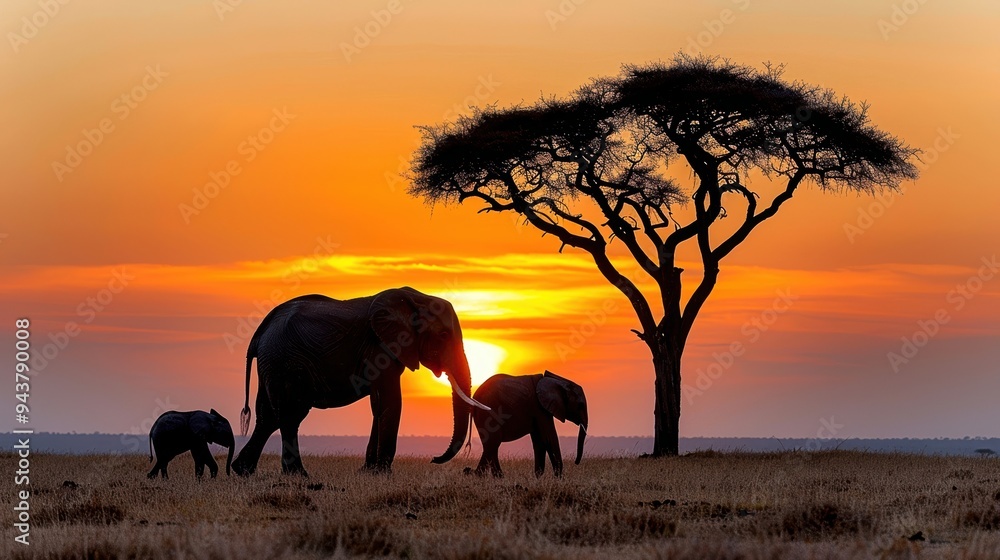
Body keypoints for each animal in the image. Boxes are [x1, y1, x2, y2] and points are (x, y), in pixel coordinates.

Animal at [231, 287, 490, 477]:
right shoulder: (379, 348)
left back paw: (242, 471)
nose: (434, 459)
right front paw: (383, 473)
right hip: (285, 362)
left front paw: (368, 472)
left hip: (271, 366)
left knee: (267, 416)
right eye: (444, 335)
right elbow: (391, 402)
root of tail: (259, 334)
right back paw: (297, 476)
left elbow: (378, 405)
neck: (416, 299)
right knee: (290, 415)